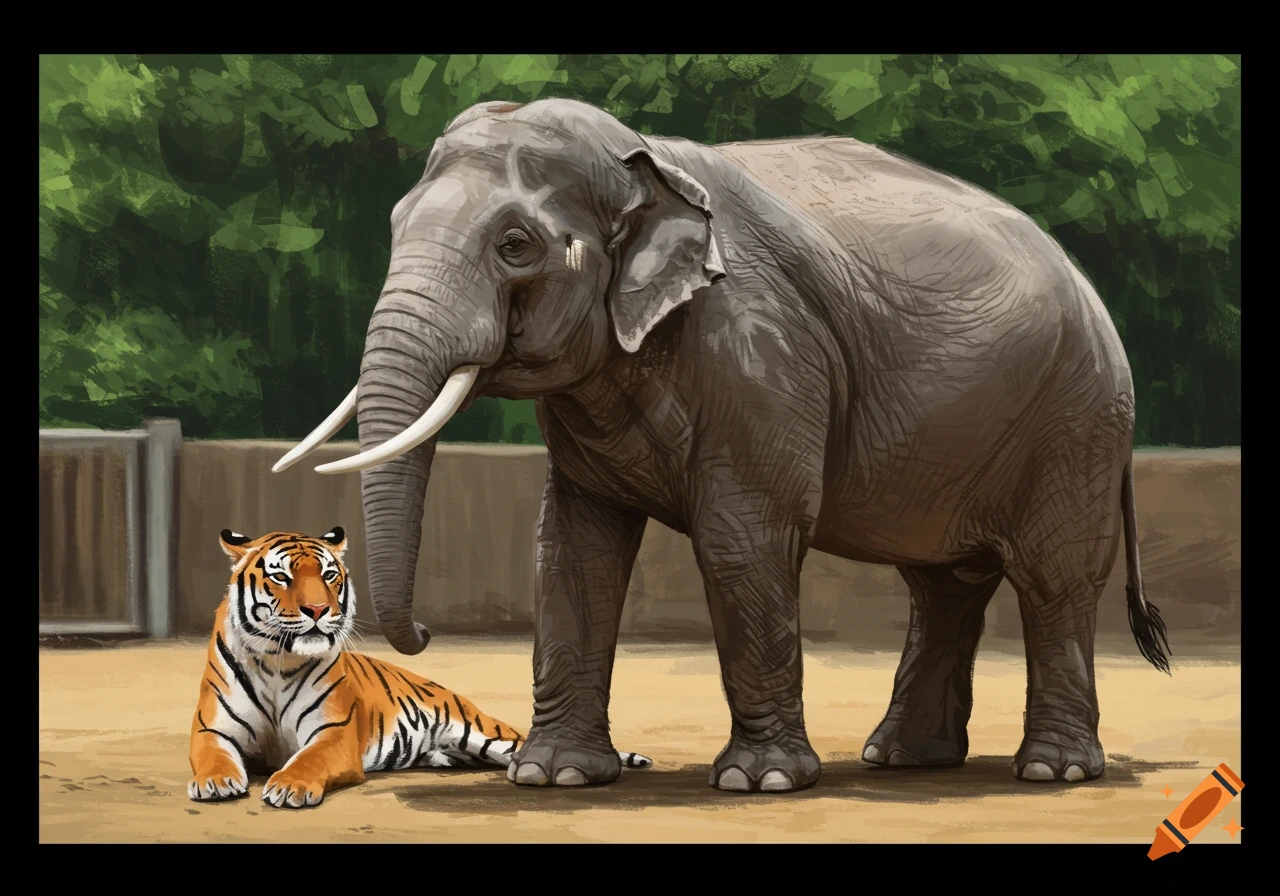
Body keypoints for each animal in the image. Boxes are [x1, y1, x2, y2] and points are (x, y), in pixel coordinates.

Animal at [188, 527, 653, 808]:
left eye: (329, 575)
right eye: (281, 577)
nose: (319, 610)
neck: (276, 660)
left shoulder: (333, 734)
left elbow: (308, 760)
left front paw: (289, 785)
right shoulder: (213, 729)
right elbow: (213, 755)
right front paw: (215, 782)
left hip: (486, 734)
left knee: (516, 749)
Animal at [272, 97, 1171, 794]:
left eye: (516, 245)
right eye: (394, 225)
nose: (423, 633)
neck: (646, 161)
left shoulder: (760, 353)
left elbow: (742, 537)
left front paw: (759, 782)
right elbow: (571, 546)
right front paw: (554, 777)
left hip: (1076, 419)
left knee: (1052, 579)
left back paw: (1051, 770)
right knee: (943, 584)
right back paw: (903, 760)